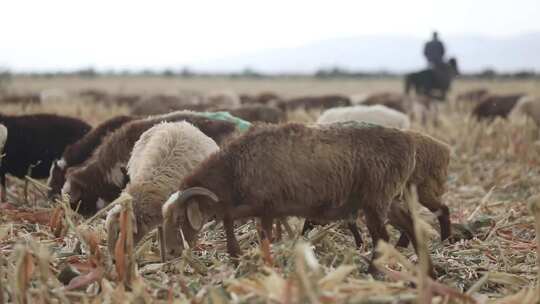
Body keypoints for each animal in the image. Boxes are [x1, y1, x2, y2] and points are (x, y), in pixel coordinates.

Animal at [160, 122, 418, 274]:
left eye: (180, 219)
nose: (171, 253)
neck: (234, 168)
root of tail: (408, 143)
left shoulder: (266, 206)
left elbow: (257, 232)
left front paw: (261, 263)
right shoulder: (260, 207)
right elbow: (229, 218)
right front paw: (236, 255)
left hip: (376, 199)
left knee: (382, 237)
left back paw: (374, 272)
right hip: (388, 199)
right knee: (409, 223)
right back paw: (423, 266)